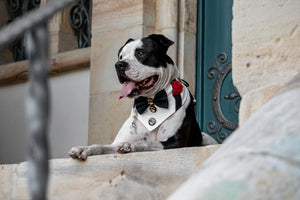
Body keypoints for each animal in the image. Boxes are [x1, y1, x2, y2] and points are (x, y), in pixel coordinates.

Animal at [69, 33, 217, 160]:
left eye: (141, 53)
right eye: (121, 57)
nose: (119, 65)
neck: (152, 101)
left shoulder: (175, 142)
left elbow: (148, 143)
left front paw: (130, 146)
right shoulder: (116, 143)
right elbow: (101, 146)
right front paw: (84, 149)